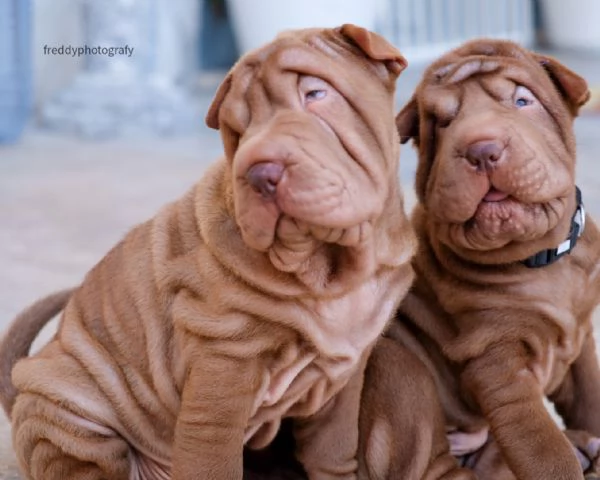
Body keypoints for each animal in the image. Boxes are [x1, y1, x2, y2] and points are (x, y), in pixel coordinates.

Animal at [0, 25, 418, 480]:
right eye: (237, 131)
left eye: (315, 95)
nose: (260, 172)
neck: (332, 269)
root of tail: (21, 386)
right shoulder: (225, 356)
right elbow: (212, 454)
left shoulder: (345, 374)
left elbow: (334, 449)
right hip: (71, 412)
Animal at [392, 40, 600, 480]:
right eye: (442, 124)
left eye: (522, 101)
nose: (482, 150)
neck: (541, 258)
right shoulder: (496, 362)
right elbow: (544, 451)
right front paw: (565, 458)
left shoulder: (581, 340)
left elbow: (591, 399)